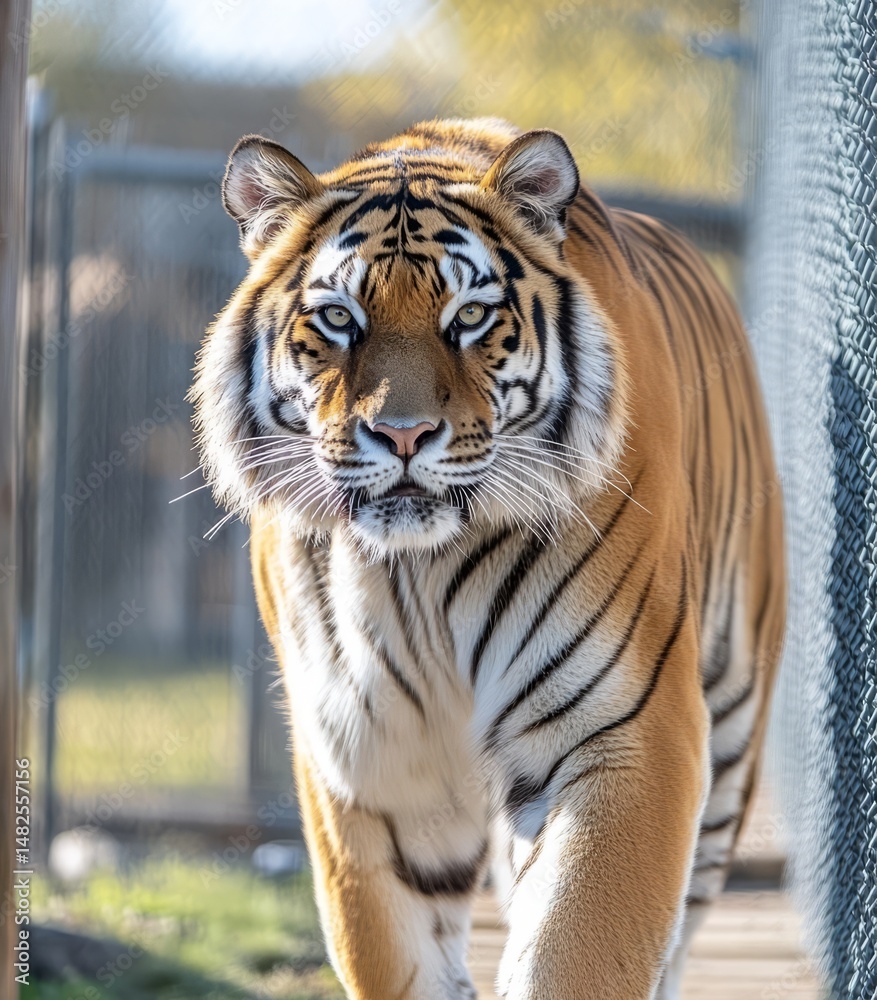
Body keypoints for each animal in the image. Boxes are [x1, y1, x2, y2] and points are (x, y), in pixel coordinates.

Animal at [190, 117, 786, 1000]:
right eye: (338, 318)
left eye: (469, 315)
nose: (401, 434)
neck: (415, 570)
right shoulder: (371, 760)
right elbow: (396, 954)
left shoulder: (622, 734)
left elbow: (579, 951)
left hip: (731, 733)